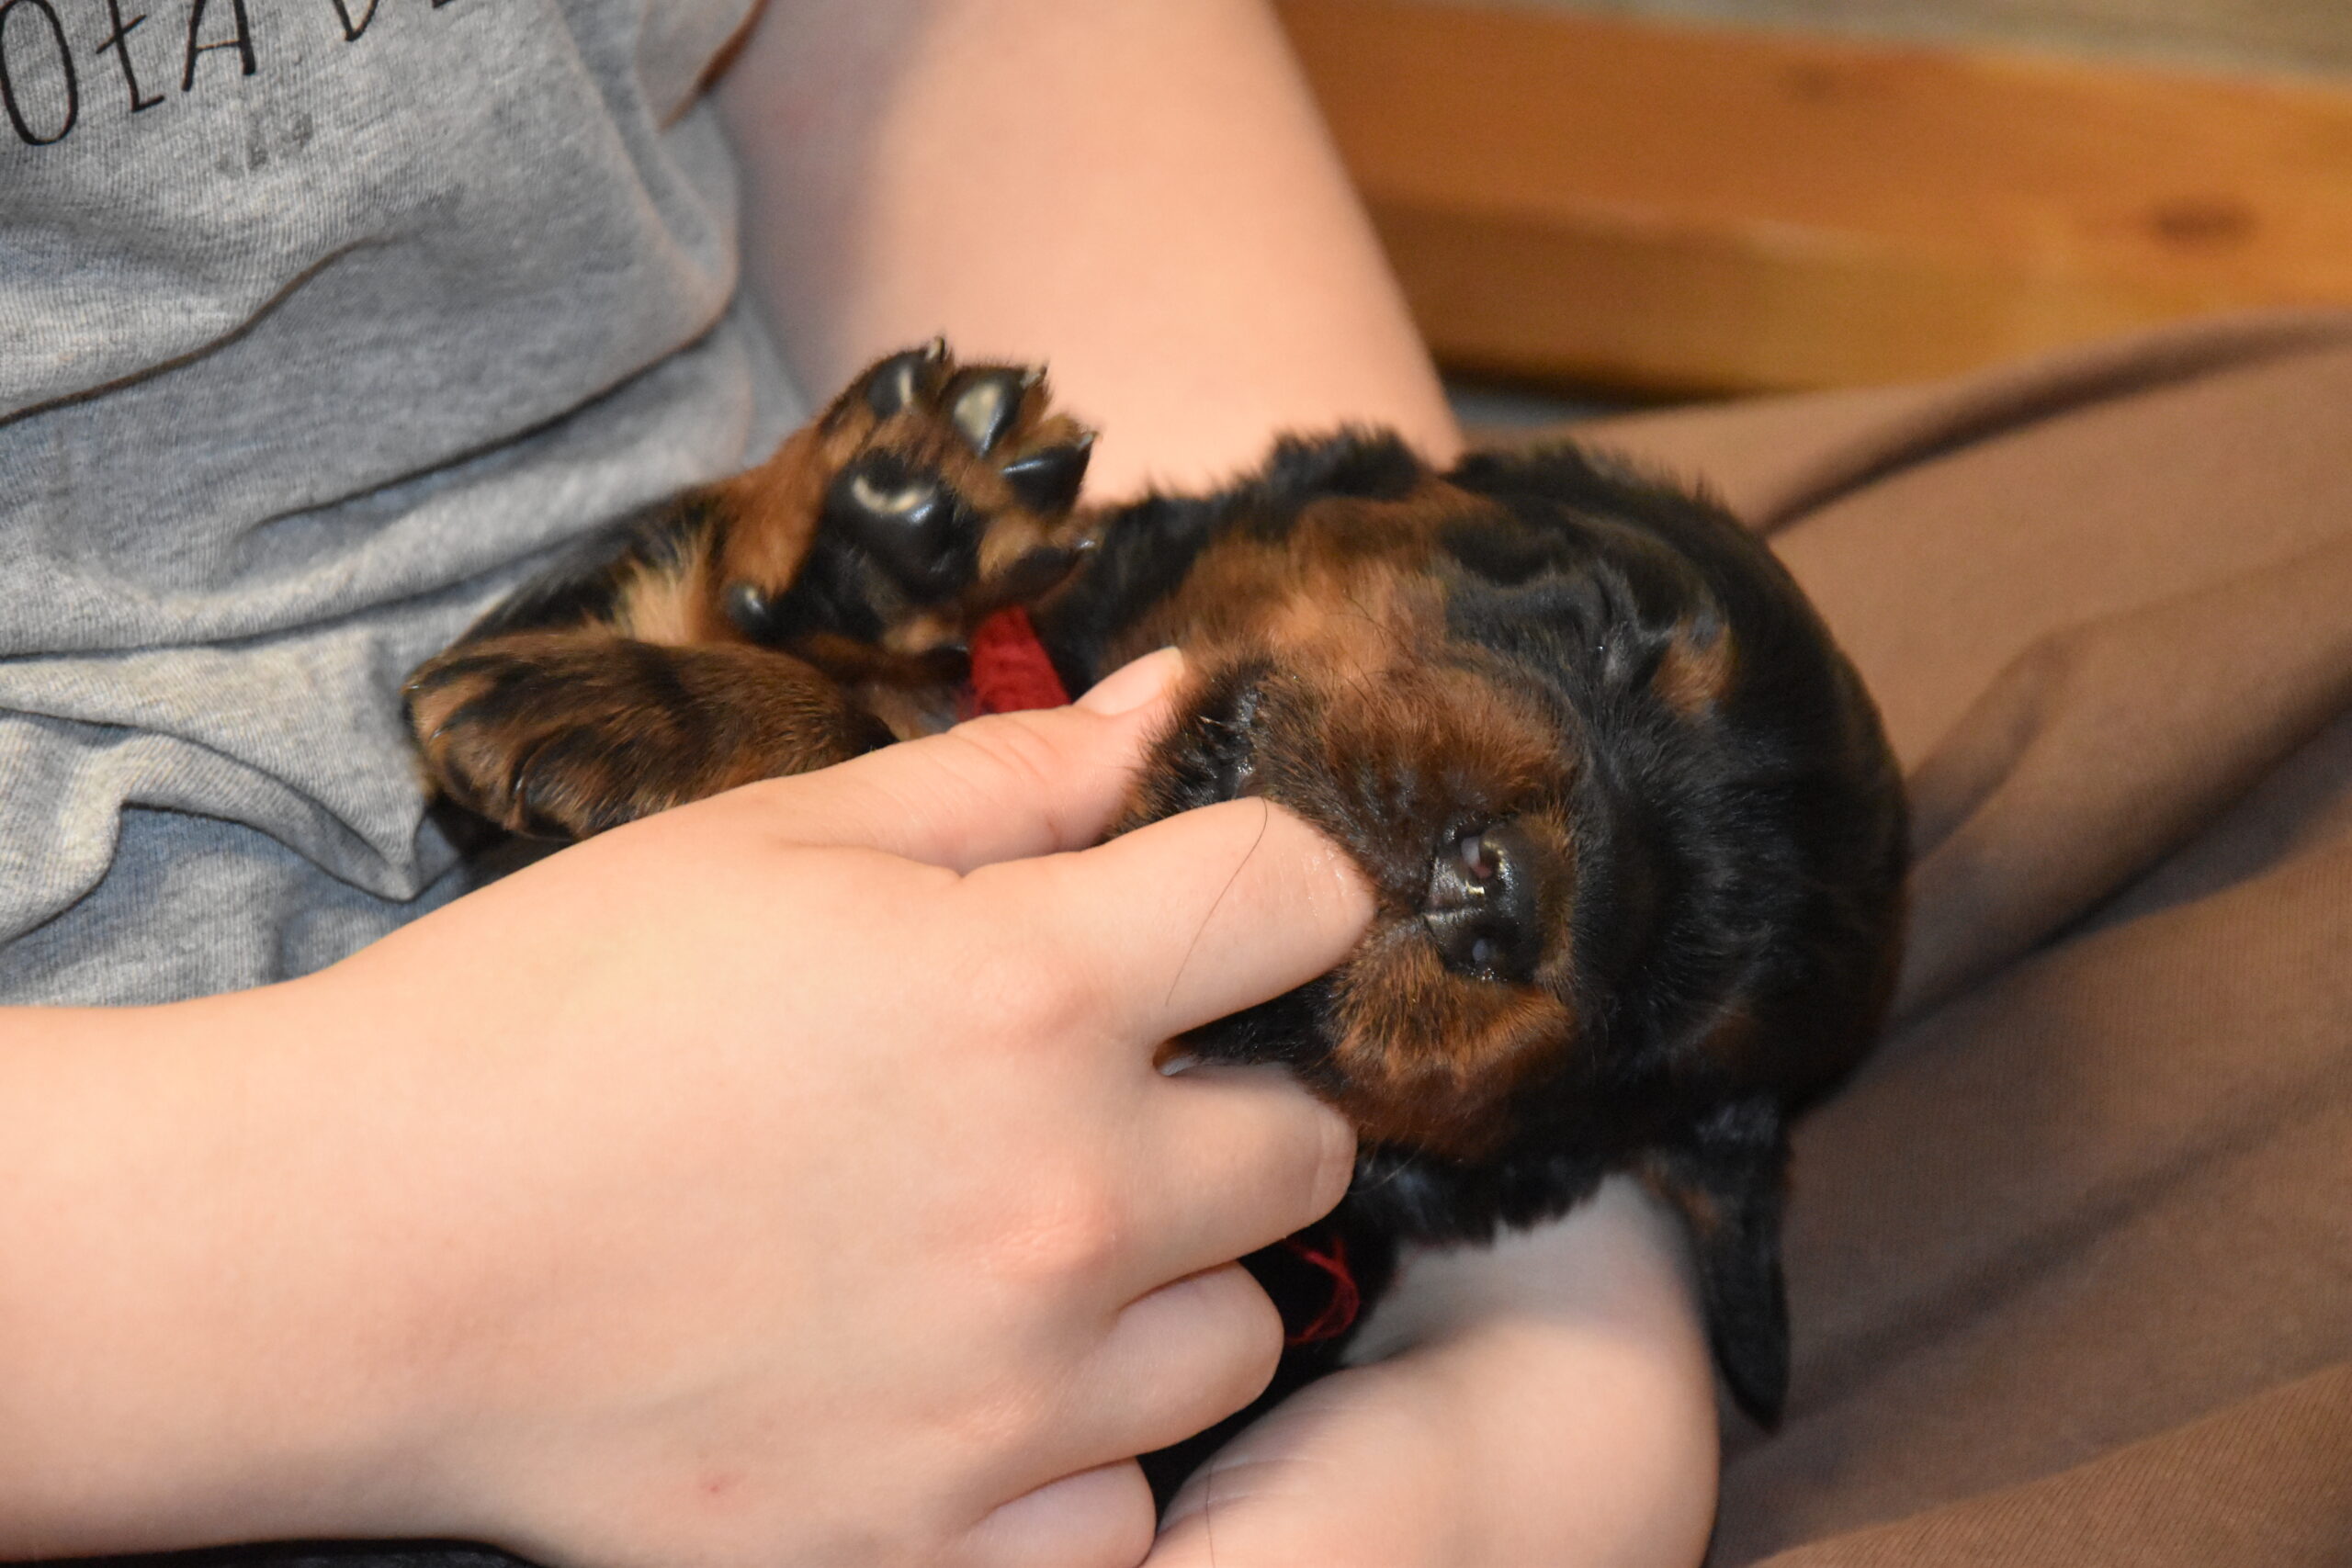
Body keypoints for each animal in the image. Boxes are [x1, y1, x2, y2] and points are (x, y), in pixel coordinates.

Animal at [405, 340, 1907, 1493]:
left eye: (1651, 1026)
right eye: (1609, 631)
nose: (1503, 894)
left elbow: (860, 729)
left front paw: (648, 707)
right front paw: (894, 511)